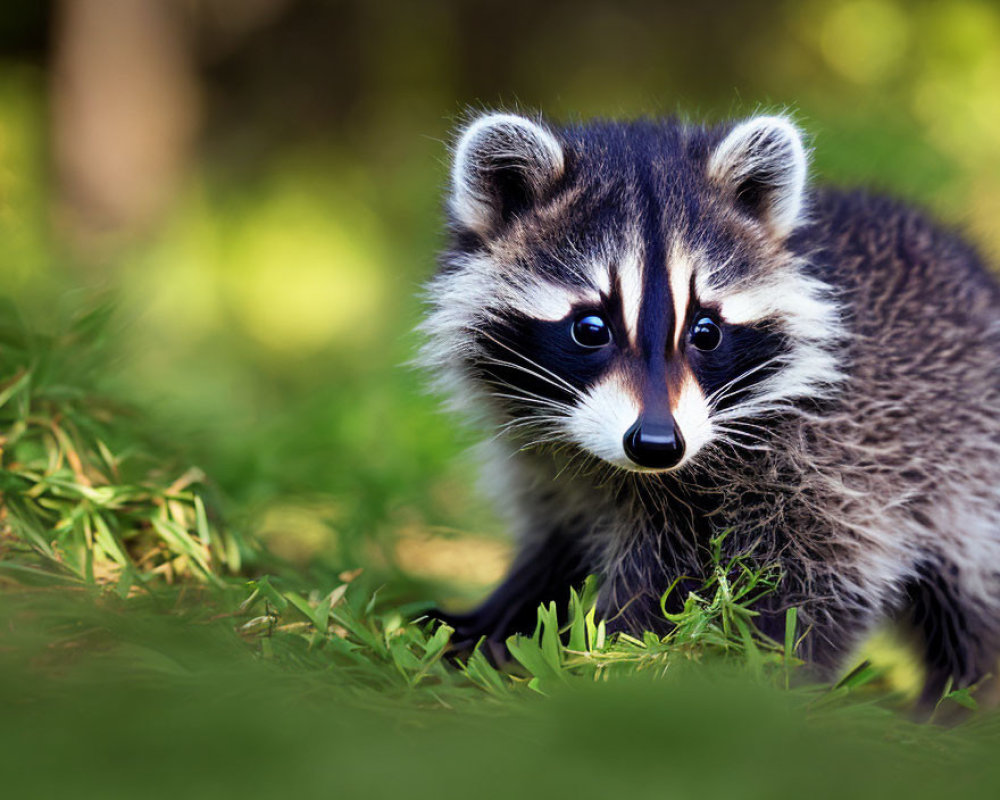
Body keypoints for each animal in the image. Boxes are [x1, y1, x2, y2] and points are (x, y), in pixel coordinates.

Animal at [418, 111, 1000, 700]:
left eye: (706, 331)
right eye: (590, 329)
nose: (656, 444)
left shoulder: (838, 461)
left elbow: (815, 584)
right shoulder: (557, 472)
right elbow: (558, 547)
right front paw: (496, 621)